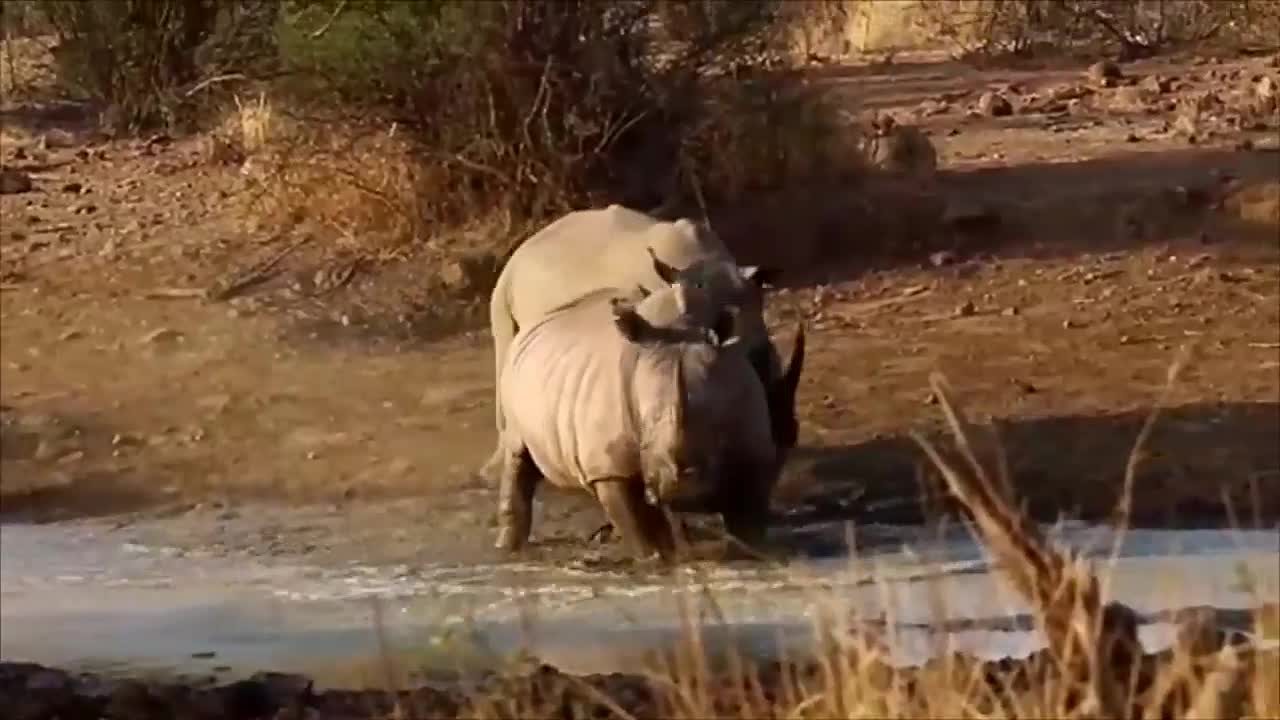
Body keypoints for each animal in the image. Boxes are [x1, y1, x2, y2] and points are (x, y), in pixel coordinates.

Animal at [488, 274, 798, 556]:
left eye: (715, 422)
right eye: (643, 425)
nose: (683, 489)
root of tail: (535, 322)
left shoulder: (750, 442)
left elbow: (748, 513)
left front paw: (751, 552)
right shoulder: (609, 467)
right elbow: (638, 526)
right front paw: (656, 559)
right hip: (514, 377)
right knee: (517, 452)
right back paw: (508, 549)